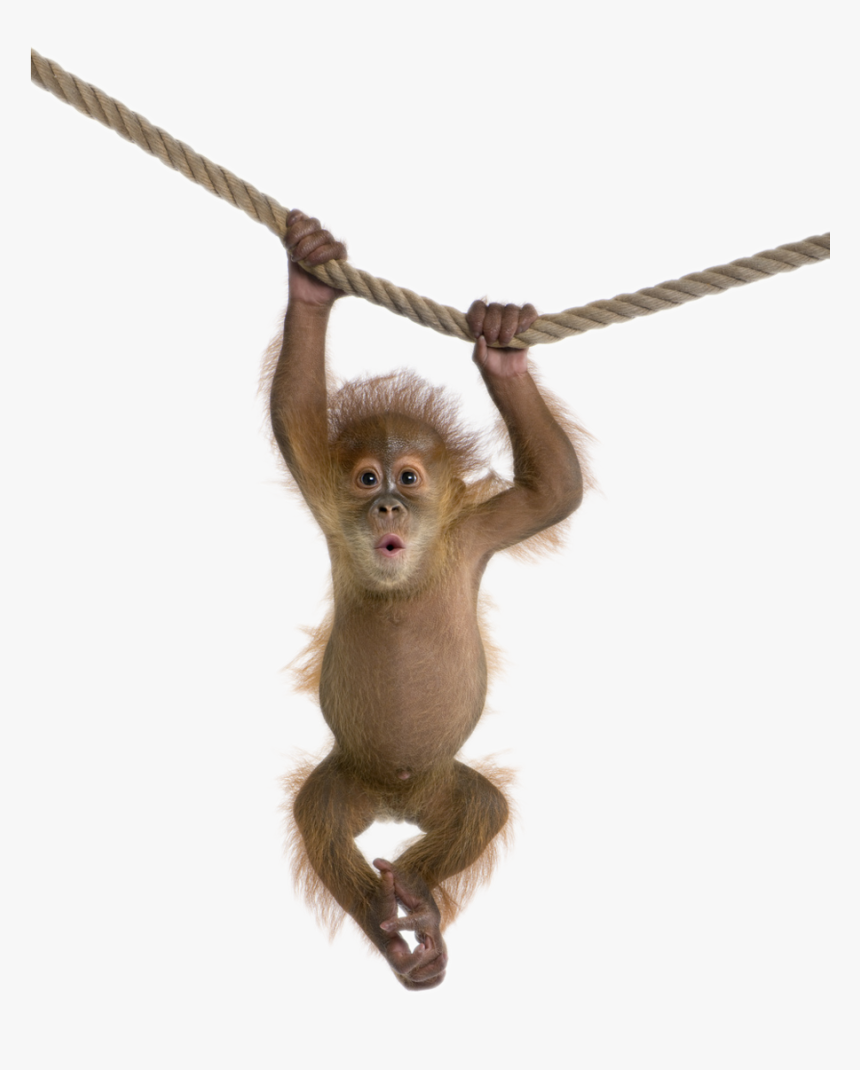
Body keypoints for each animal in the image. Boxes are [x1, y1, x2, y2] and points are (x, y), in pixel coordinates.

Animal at [268, 210, 586, 989]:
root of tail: (396, 800)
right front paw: (310, 276)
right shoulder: (325, 498)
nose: (387, 506)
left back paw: (415, 896)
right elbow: (293, 413)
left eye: (408, 478)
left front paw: (501, 346)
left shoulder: (476, 532)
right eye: (366, 479)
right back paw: (392, 929)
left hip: (441, 786)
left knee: (482, 809)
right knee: (319, 822)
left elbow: (555, 490)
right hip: (348, 779)